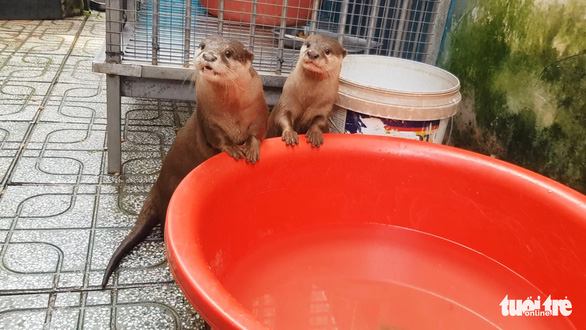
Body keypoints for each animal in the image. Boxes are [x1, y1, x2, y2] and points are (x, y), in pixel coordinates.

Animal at [101, 34, 268, 288]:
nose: (208, 56)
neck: (233, 112)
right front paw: (233, 150)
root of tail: (157, 189)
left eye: (228, 53)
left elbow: (256, 134)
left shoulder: (259, 112)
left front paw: (251, 149)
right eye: (202, 46)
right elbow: (218, 139)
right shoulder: (207, 120)